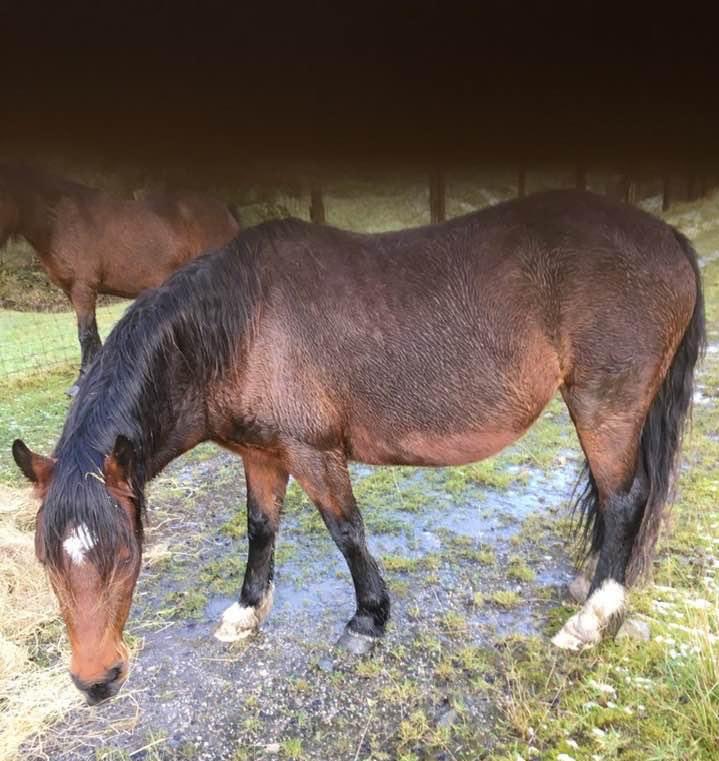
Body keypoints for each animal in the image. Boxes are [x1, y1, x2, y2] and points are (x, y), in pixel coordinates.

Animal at [0, 163, 240, 392]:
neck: (61, 219)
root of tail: (225, 211)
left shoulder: (82, 288)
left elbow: (86, 334)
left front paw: (80, 383)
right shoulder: (71, 291)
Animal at [12, 190, 704, 704]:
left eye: (129, 556)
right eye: (47, 560)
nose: (97, 682)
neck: (236, 326)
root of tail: (666, 236)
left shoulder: (313, 452)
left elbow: (345, 530)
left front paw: (368, 620)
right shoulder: (263, 454)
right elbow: (260, 528)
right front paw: (246, 612)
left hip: (605, 404)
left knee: (623, 499)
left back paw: (592, 617)